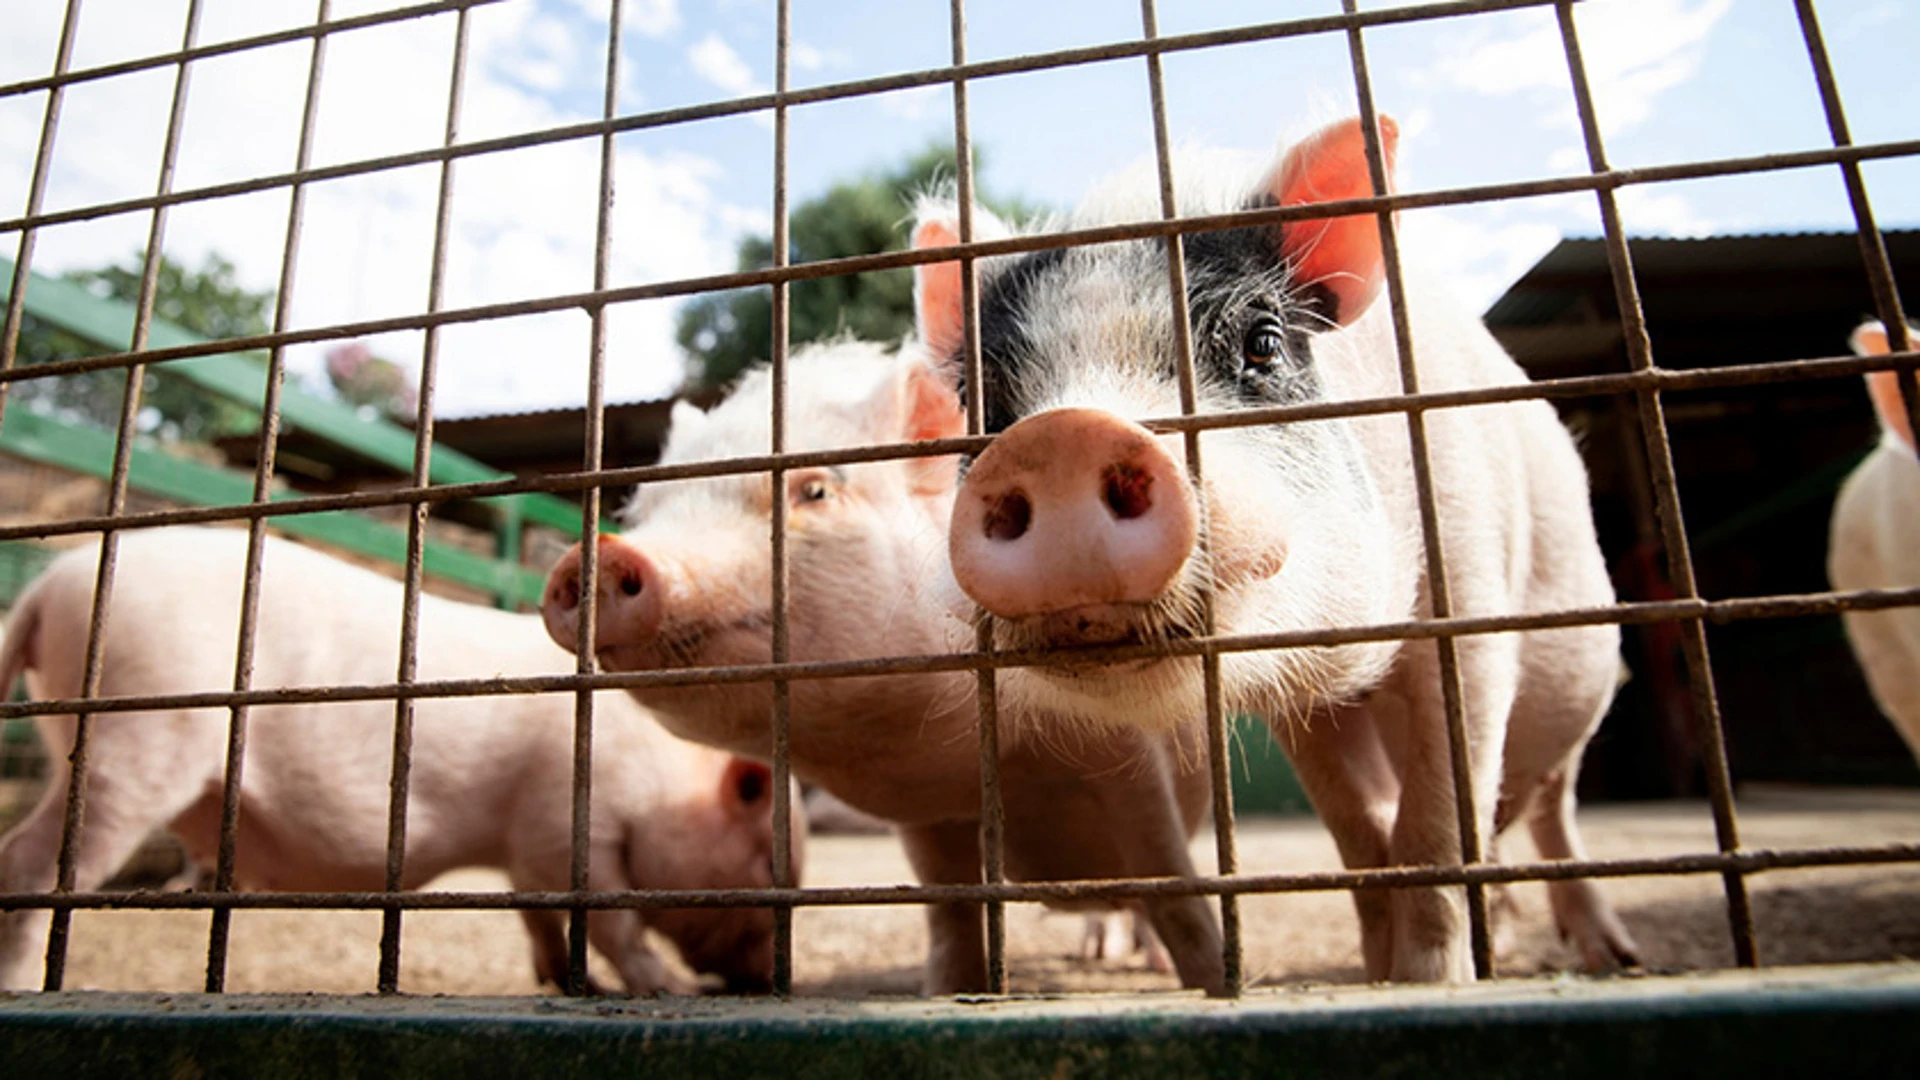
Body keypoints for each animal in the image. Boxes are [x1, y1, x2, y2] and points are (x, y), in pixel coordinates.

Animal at [0, 526, 794, 991]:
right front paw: (672, 991)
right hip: (136, 734)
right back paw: (23, 981)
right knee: (33, 858)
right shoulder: (567, 823)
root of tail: (43, 590)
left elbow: (535, 916)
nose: (761, 975)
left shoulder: (524, 850)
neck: (665, 776)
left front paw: (568, 987)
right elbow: (611, 919)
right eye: (762, 859)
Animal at [549, 338, 1221, 991]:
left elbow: (1174, 888)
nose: (603, 556)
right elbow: (950, 915)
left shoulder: (1129, 757)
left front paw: (1212, 982)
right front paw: (948, 991)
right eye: (643, 513)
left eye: (815, 490)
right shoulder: (932, 820)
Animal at [910, 113, 1635, 980]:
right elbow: (1359, 828)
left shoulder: (1468, 595)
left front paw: (1426, 980)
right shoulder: (1306, 697)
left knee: (1554, 809)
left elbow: (1437, 821)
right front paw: (1378, 970)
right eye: (983, 401)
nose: (1061, 436)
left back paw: (1612, 958)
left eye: (1262, 343)